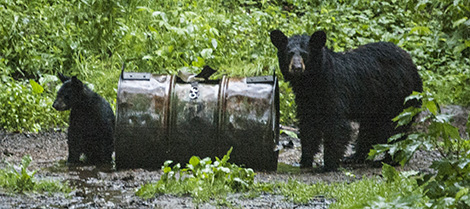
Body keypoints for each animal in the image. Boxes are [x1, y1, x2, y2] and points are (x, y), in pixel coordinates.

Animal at [270, 30, 424, 171]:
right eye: (289, 53)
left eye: (304, 54)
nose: (296, 68)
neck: (311, 82)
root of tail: (414, 68)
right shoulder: (306, 100)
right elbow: (308, 126)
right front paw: (304, 161)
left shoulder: (334, 90)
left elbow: (337, 125)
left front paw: (328, 164)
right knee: (369, 128)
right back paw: (354, 157)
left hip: (398, 97)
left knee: (394, 129)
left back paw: (388, 160)